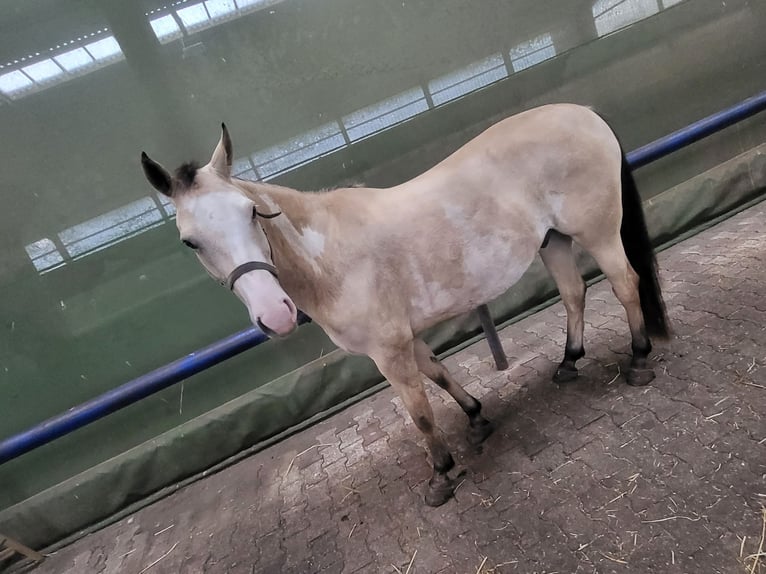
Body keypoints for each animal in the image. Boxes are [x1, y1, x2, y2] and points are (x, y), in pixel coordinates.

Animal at [140, 103, 670, 506]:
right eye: (191, 241)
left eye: (251, 212)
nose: (275, 314)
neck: (330, 255)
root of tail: (584, 113)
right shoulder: (403, 339)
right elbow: (438, 373)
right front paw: (476, 419)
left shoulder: (387, 351)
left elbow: (419, 413)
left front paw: (441, 476)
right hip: (553, 241)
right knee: (573, 293)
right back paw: (568, 363)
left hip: (598, 233)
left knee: (625, 284)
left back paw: (639, 358)